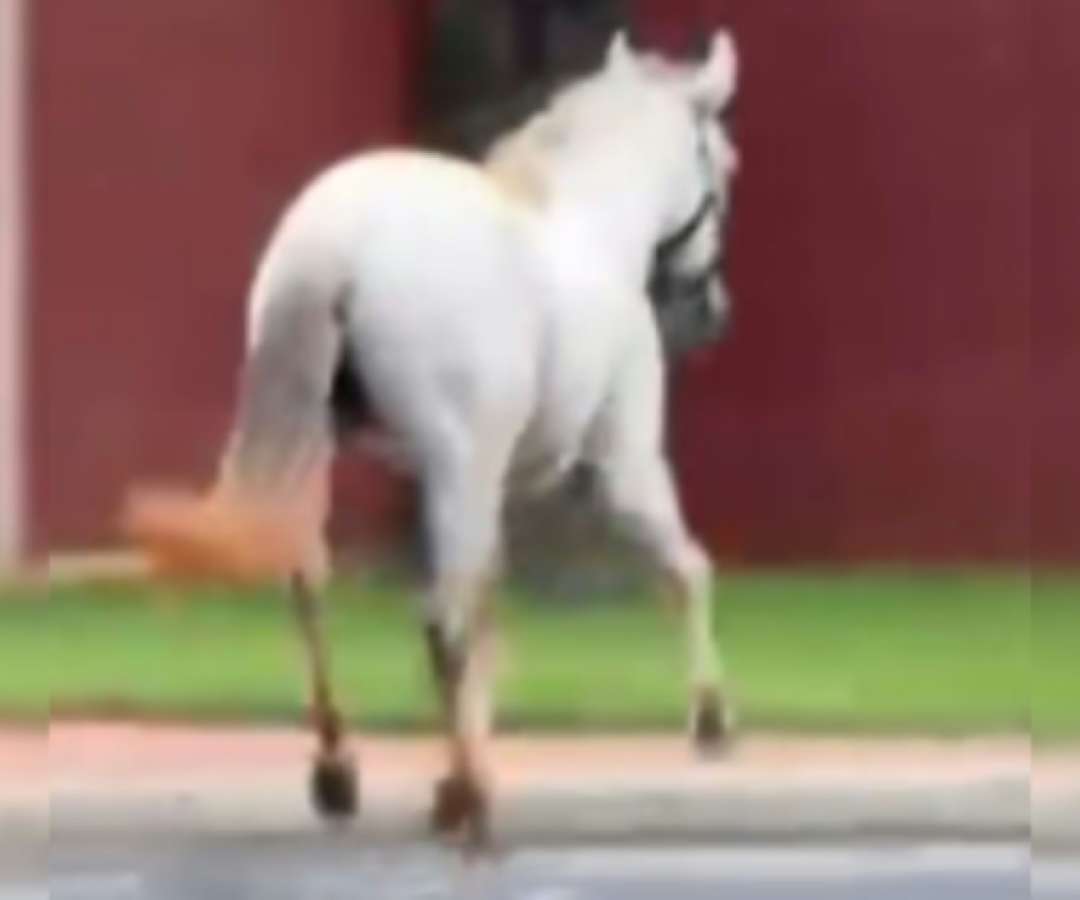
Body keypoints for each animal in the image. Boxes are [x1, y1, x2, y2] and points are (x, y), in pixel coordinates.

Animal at [124, 28, 741, 850]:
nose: (711, 314)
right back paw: (465, 796)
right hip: (470, 463)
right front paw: (711, 719)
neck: (589, 224)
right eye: (725, 164)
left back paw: (340, 770)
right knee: (438, 621)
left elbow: (488, 608)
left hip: (325, 448)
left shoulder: (486, 482)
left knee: (309, 585)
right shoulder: (619, 466)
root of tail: (334, 244)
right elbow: (685, 570)